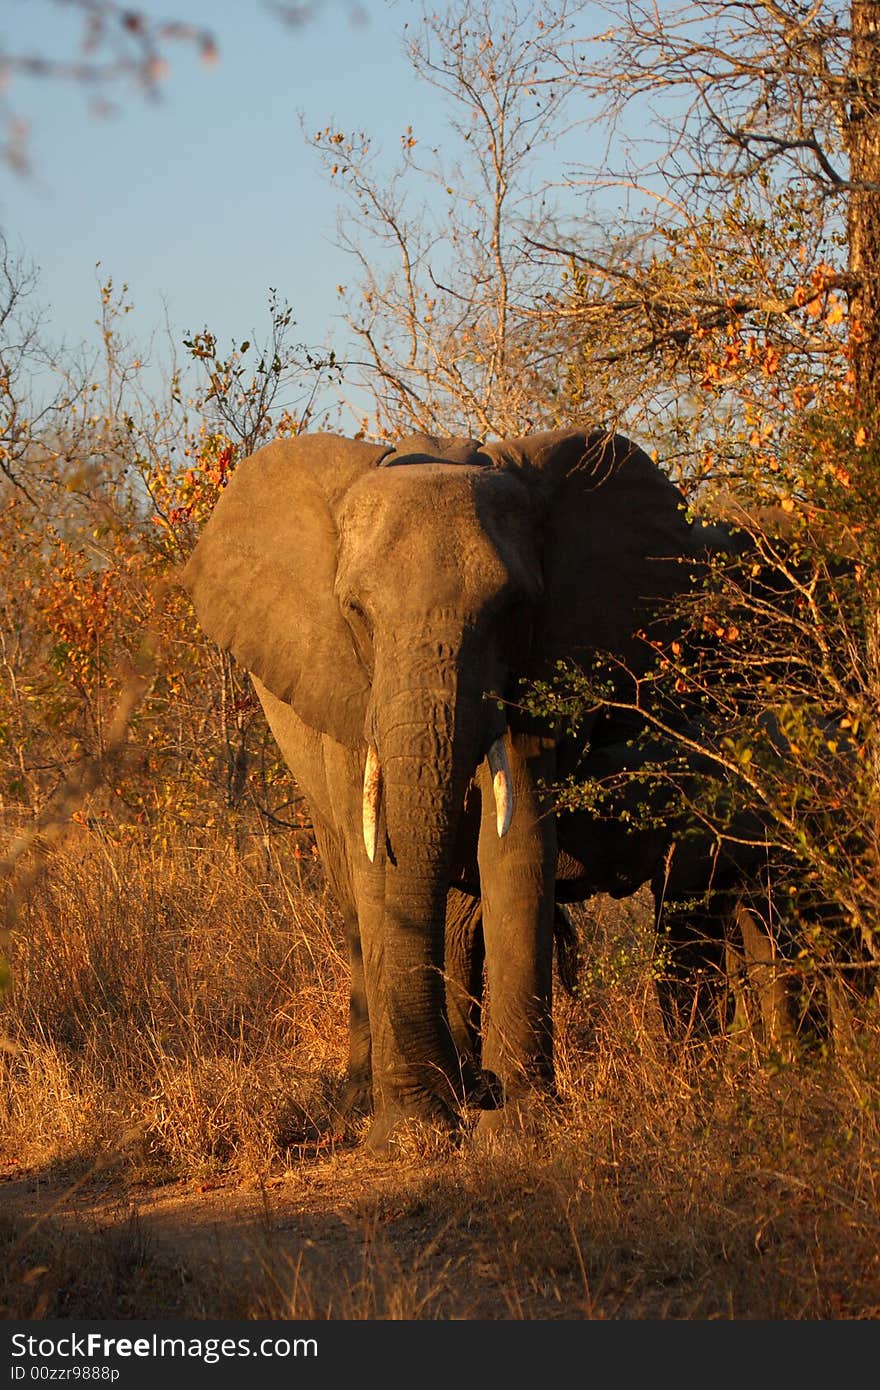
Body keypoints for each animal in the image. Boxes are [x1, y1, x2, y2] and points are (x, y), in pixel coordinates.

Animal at [180, 425, 706, 1150]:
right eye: (356, 612)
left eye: (512, 608)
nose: (462, 1100)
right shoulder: (347, 685)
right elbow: (376, 861)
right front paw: (412, 1132)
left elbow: (515, 848)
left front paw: (516, 1124)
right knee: (354, 890)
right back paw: (364, 1107)